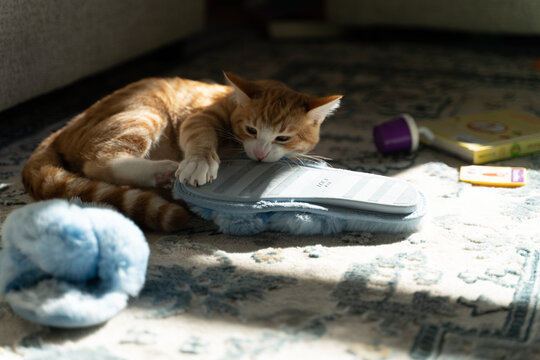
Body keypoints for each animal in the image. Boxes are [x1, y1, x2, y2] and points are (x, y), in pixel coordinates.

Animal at [23, 71, 342, 232]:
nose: (261, 153)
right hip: (144, 113)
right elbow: (201, 137)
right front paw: (200, 161)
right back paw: (160, 171)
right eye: (251, 130)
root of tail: (64, 128)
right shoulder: (201, 117)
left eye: (282, 137)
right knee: (98, 162)